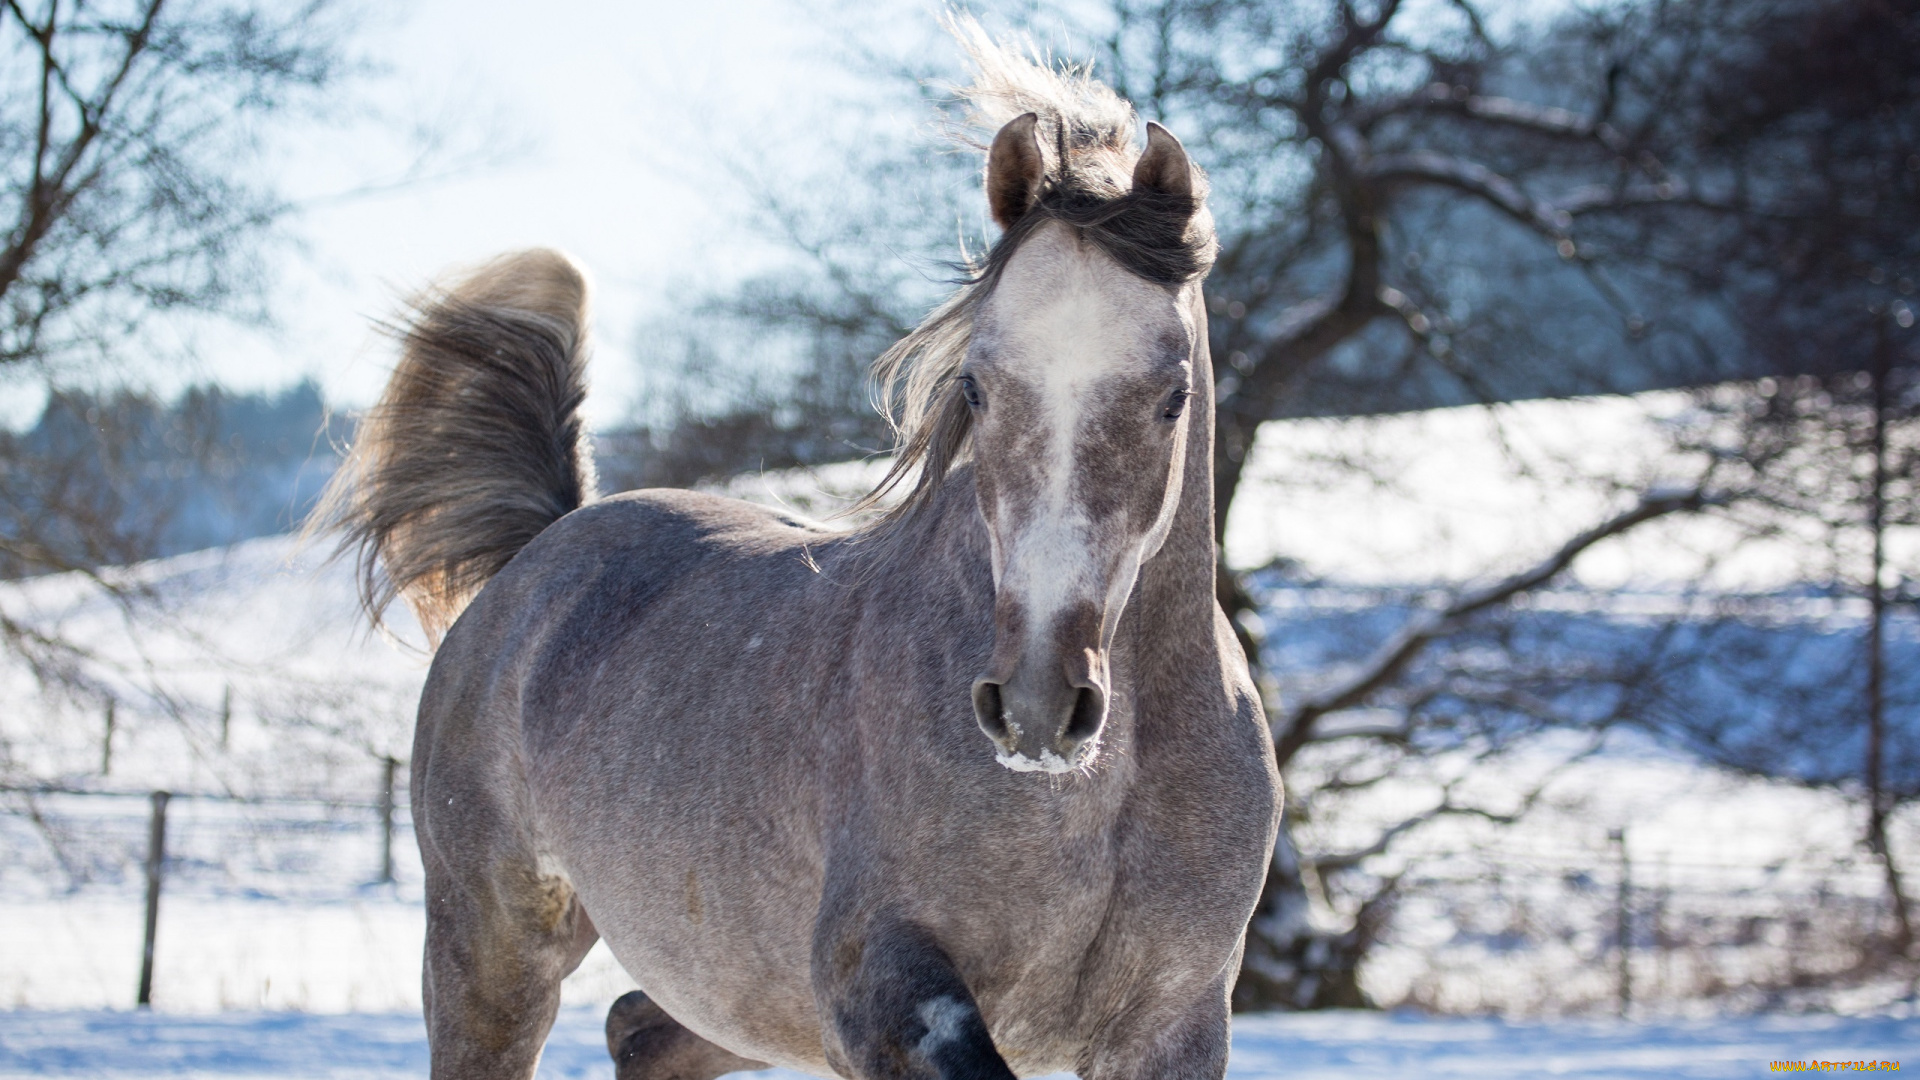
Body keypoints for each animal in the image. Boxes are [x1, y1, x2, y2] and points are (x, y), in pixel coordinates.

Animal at [322, 31, 1282, 1076]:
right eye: (976, 388)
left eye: (1172, 397)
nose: (1035, 707)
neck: (1101, 791)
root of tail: (541, 549)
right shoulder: (880, 983)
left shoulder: (1176, 1022)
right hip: (492, 951)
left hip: (737, 988)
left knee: (639, 1030)